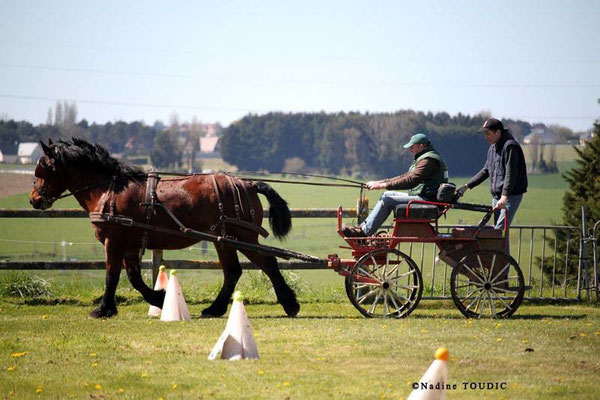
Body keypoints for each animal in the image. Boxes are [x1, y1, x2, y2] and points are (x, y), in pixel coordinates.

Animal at [29, 138, 298, 318]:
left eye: (44, 169)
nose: (34, 199)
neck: (109, 190)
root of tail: (248, 184)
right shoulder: (130, 244)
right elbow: (134, 277)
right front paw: (158, 298)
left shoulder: (114, 241)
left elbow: (111, 275)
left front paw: (104, 309)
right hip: (223, 239)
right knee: (233, 271)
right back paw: (215, 309)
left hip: (242, 235)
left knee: (267, 263)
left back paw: (290, 304)